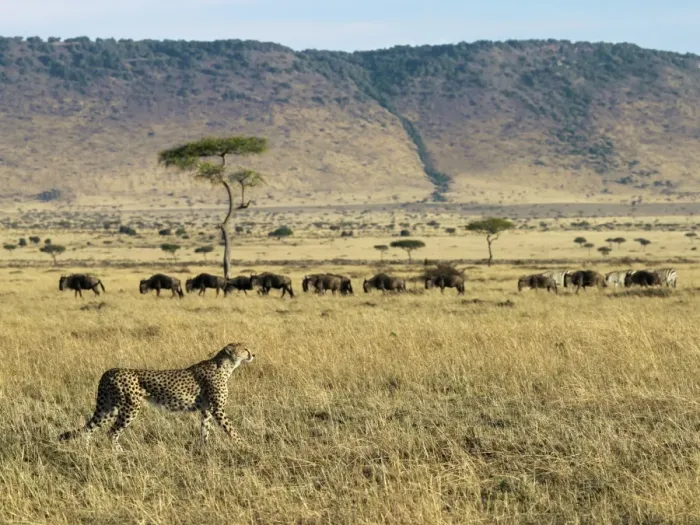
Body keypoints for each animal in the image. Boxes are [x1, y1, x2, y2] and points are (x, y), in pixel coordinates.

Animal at [58, 343, 255, 450]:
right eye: (245, 348)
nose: (253, 354)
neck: (227, 366)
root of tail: (109, 371)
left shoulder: (206, 411)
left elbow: (204, 431)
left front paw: (204, 450)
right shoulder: (218, 410)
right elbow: (232, 431)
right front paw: (245, 446)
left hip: (109, 407)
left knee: (90, 429)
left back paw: (88, 451)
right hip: (130, 407)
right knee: (111, 431)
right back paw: (120, 453)